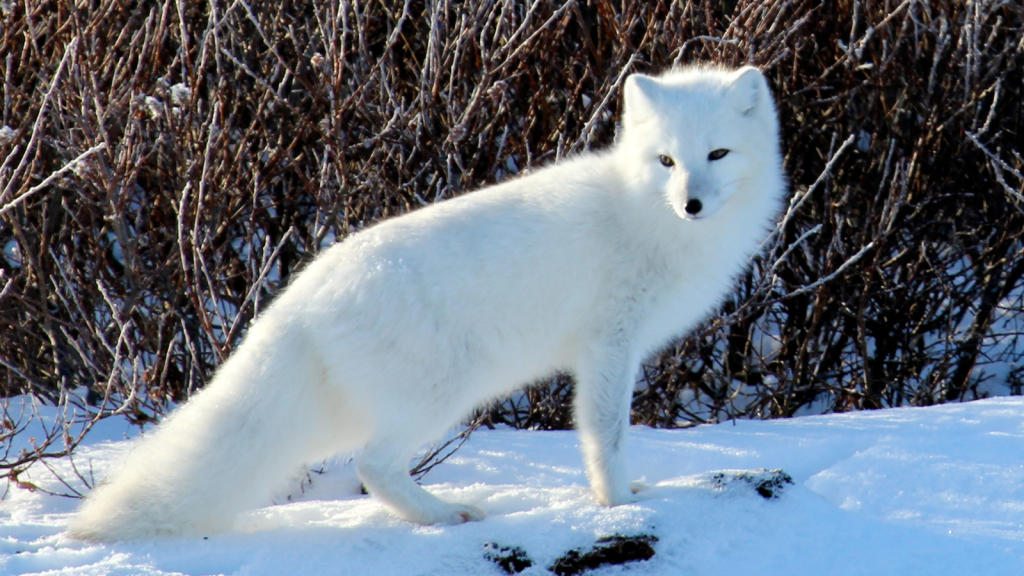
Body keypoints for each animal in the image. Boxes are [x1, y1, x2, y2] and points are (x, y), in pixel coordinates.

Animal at [68, 65, 782, 541]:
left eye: (717, 154)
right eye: (666, 161)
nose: (691, 203)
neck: (644, 215)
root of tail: (303, 292)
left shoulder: (607, 351)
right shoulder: (609, 345)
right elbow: (605, 434)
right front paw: (616, 503)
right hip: (443, 393)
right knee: (374, 466)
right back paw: (445, 514)